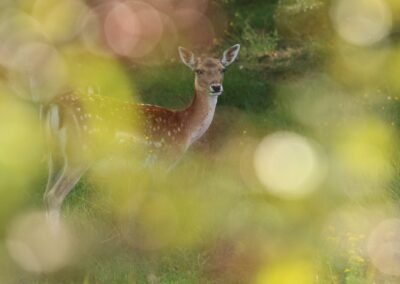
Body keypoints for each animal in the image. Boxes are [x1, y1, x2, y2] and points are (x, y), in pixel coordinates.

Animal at [42, 44, 239, 224]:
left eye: (223, 69)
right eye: (199, 71)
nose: (216, 87)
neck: (185, 127)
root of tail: (55, 104)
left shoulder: (142, 168)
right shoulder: (164, 161)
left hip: (55, 153)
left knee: (46, 193)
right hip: (81, 152)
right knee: (54, 196)